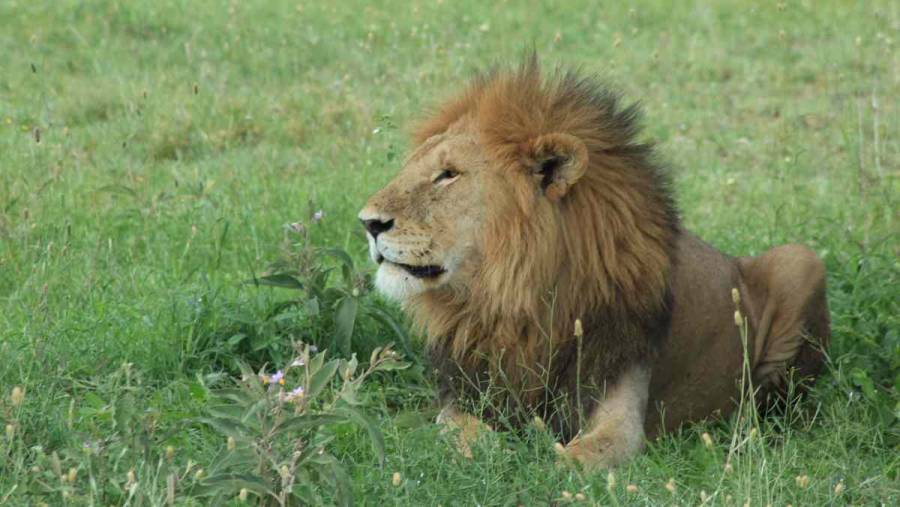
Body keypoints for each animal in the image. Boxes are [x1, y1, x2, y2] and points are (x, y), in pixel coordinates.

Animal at [358, 59, 830, 468]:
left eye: (448, 175)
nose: (368, 223)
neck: (517, 301)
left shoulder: (620, 410)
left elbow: (574, 461)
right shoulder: (466, 390)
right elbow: (460, 430)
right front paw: (492, 450)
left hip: (801, 259)